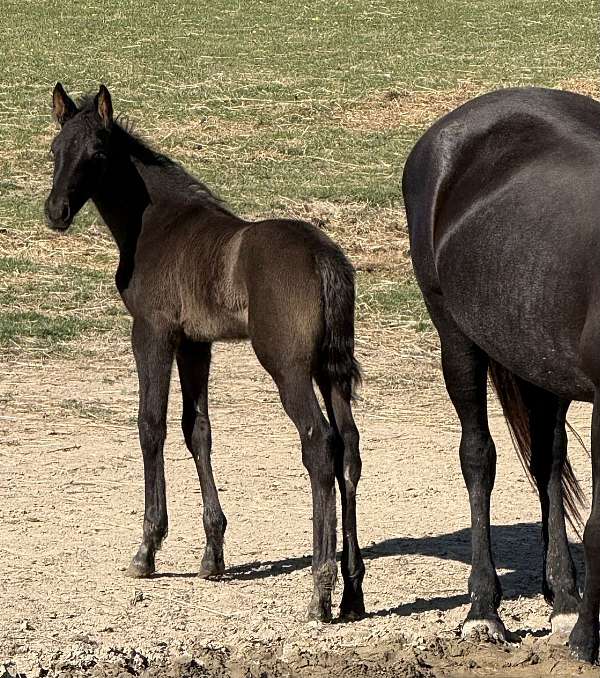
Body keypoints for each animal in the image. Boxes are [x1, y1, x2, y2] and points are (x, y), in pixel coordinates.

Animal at [45, 83, 365, 622]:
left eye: (97, 155)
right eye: (55, 151)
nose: (56, 212)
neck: (157, 224)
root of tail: (323, 256)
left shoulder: (152, 332)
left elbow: (151, 425)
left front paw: (147, 550)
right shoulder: (197, 343)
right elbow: (197, 430)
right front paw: (212, 554)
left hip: (289, 369)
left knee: (320, 446)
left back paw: (320, 593)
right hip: (331, 371)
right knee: (349, 451)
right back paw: (353, 592)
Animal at [403, 86, 600, 662]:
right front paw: (586, 642)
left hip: (541, 364)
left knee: (548, 462)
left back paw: (564, 598)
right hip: (457, 340)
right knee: (478, 458)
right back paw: (484, 610)